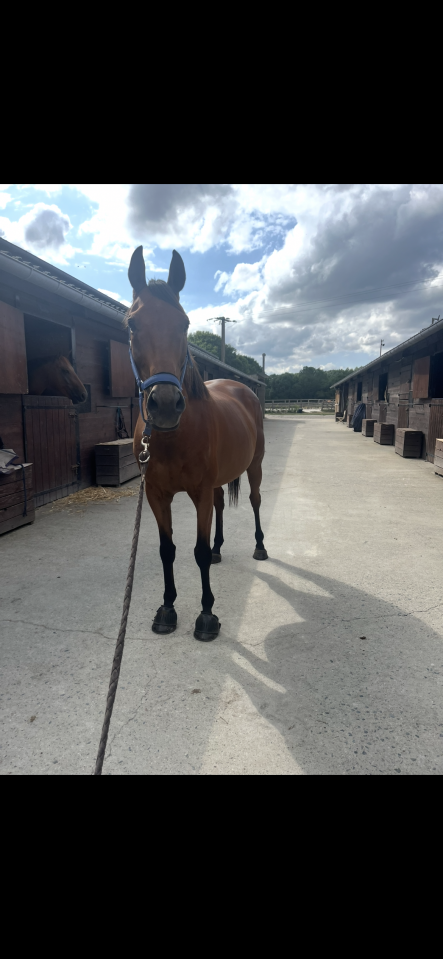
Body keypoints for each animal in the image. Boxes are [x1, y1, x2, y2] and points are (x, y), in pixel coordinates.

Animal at [127, 246, 267, 642]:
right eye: (132, 324)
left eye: (184, 324)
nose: (164, 405)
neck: (173, 437)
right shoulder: (157, 494)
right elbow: (167, 550)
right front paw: (167, 609)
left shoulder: (199, 492)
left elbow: (198, 552)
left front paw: (207, 614)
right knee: (221, 505)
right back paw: (221, 548)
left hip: (255, 466)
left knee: (254, 501)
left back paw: (259, 547)